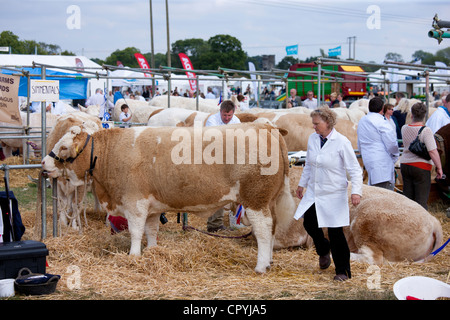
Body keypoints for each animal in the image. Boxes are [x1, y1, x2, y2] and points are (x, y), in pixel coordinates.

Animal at [41, 120, 296, 272]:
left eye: (63, 147)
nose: (43, 163)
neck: (112, 152)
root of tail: (264, 126)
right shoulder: (152, 206)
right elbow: (151, 230)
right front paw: (153, 251)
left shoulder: (134, 203)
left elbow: (135, 231)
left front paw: (134, 255)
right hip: (270, 200)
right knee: (272, 228)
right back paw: (269, 260)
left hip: (255, 200)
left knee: (263, 230)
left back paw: (261, 266)